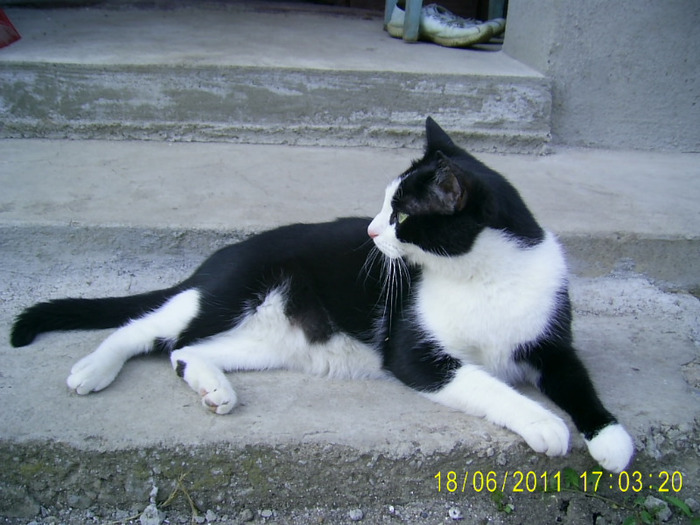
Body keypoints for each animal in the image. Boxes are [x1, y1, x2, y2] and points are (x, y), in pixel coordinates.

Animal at [10, 117, 634, 473]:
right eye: (384, 207)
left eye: (401, 214)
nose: (371, 231)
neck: (481, 275)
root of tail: (217, 257)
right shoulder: (416, 353)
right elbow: (486, 383)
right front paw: (544, 422)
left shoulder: (551, 340)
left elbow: (577, 381)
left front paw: (611, 439)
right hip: (227, 292)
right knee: (145, 328)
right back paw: (93, 369)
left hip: (276, 339)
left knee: (186, 351)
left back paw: (213, 387)